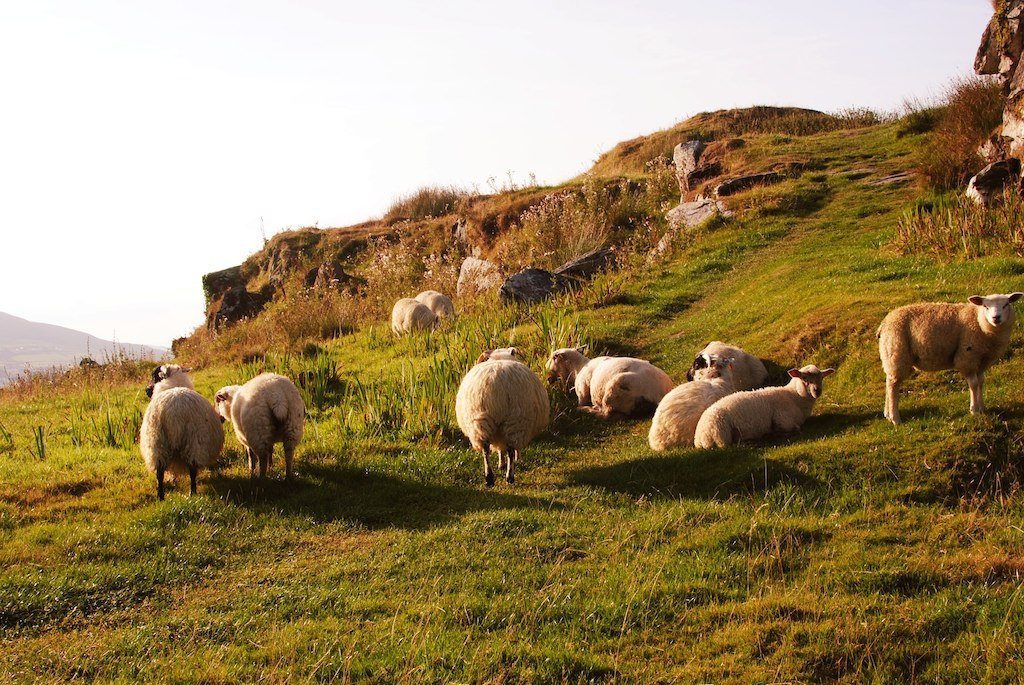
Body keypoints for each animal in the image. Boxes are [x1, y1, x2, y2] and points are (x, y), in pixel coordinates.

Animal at [692, 362, 835, 448]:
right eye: (804, 378)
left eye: (821, 378)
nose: (817, 391)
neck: (794, 397)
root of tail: (699, 437)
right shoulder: (783, 420)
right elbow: (795, 428)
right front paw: (776, 432)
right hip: (722, 437)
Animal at [876, 288, 1019, 421]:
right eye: (985, 306)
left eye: (1006, 304)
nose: (996, 318)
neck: (979, 321)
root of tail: (884, 323)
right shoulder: (967, 358)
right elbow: (973, 384)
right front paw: (974, 410)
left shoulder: (981, 361)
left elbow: (981, 382)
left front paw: (982, 408)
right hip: (897, 352)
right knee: (893, 385)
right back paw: (895, 418)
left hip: (892, 355)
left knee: (890, 382)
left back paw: (887, 414)